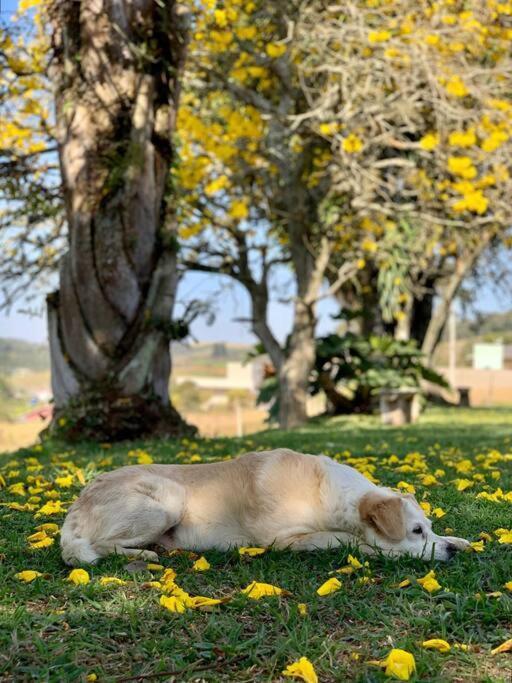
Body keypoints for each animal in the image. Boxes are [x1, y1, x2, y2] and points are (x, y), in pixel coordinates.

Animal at [60, 446, 468, 564]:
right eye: (415, 532)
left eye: (428, 527)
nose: (448, 552)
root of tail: (77, 506)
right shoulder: (285, 540)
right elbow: (343, 539)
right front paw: (370, 547)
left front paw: (459, 540)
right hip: (167, 499)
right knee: (99, 545)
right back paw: (144, 554)